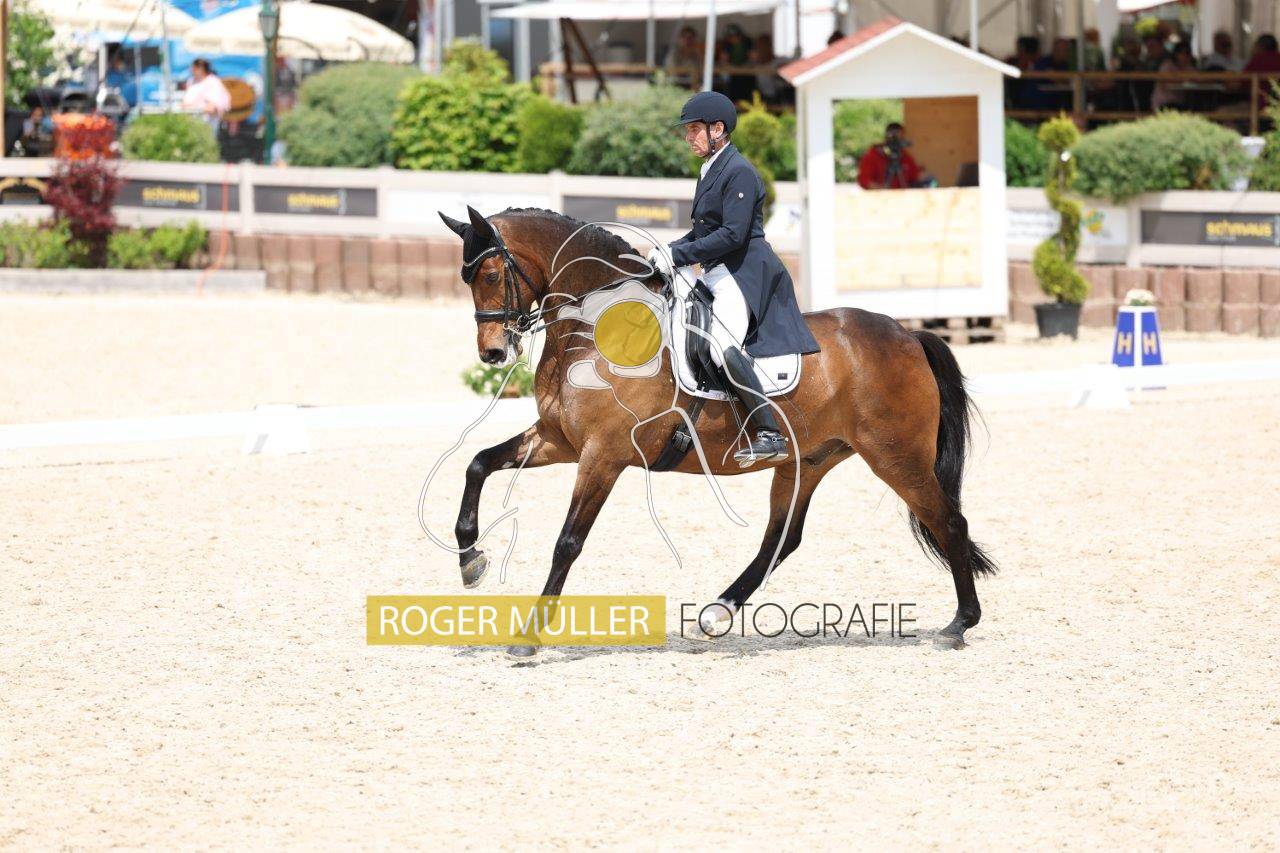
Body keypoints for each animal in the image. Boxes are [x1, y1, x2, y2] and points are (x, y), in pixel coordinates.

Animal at [438, 206, 996, 656]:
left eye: (491, 273)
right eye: (467, 278)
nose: (493, 352)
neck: (594, 327)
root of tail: (908, 334)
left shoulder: (603, 455)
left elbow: (567, 541)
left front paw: (528, 638)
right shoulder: (561, 440)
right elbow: (478, 463)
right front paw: (470, 559)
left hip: (896, 457)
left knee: (950, 523)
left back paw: (958, 625)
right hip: (807, 461)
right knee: (782, 539)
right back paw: (714, 614)